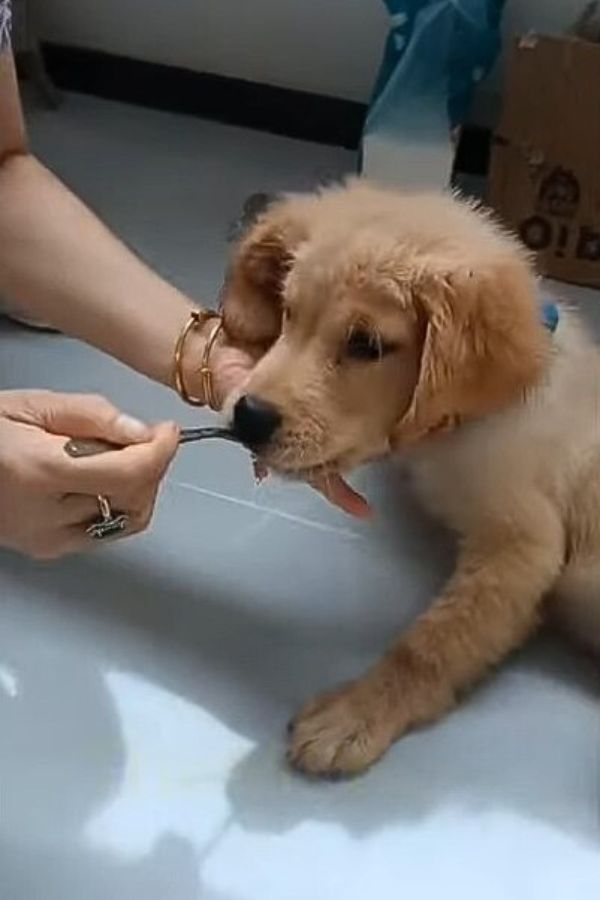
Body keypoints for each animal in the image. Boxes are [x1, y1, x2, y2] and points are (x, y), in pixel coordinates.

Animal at [220, 179, 600, 776]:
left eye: (367, 345)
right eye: (287, 312)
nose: (249, 417)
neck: (469, 422)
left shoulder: (523, 546)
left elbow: (431, 644)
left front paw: (356, 714)